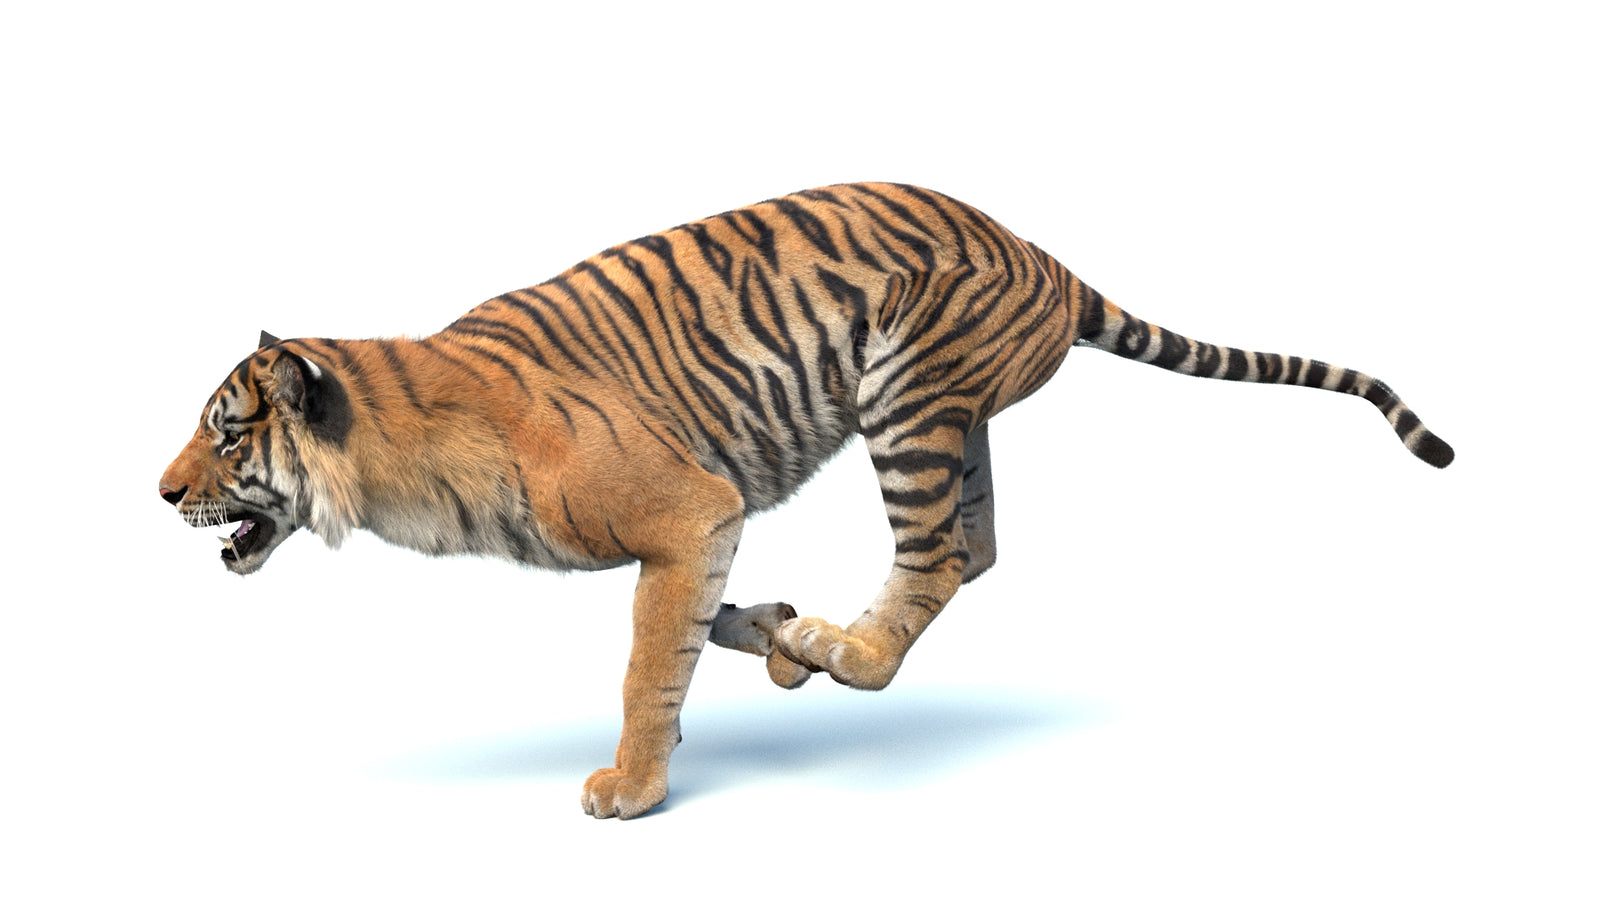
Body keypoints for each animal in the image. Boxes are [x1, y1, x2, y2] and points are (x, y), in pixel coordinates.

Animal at [159, 183, 1453, 819]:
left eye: (226, 433)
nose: (159, 490)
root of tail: (1048, 257)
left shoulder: (690, 511)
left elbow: (646, 662)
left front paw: (634, 788)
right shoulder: (707, 526)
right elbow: (693, 632)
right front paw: (762, 641)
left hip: (908, 400)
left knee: (940, 556)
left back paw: (845, 653)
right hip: (956, 422)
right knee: (979, 548)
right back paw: (817, 640)